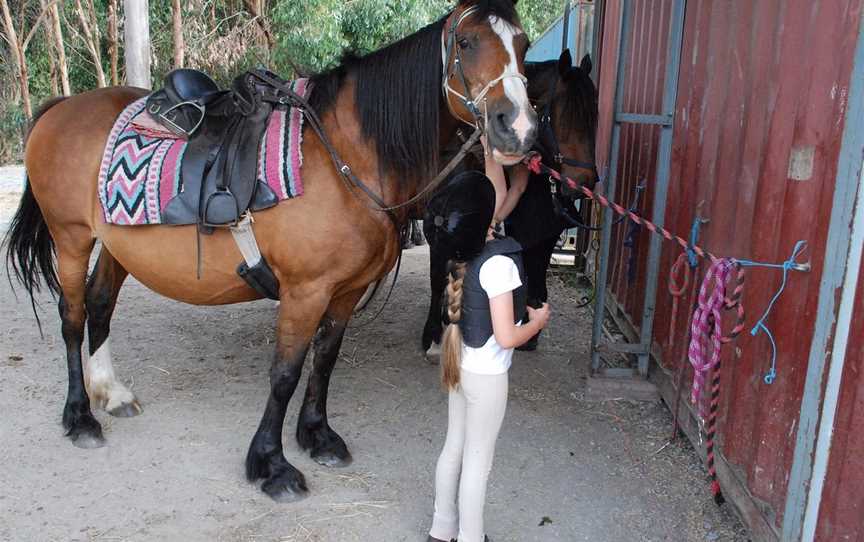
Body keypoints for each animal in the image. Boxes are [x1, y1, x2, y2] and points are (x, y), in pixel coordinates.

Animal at [3, 0, 536, 504]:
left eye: (524, 45)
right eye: (466, 42)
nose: (520, 129)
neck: (343, 155)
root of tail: (60, 107)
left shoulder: (346, 291)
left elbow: (325, 360)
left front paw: (317, 436)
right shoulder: (305, 292)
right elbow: (285, 373)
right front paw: (270, 465)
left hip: (116, 247)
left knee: (99, 305)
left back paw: (110, 392)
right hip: (71, 238)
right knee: (72, 316)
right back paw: (80, 417)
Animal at [420, 50, 596, 356]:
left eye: (595, 112)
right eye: (566, 115)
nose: (584, 183)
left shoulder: (540, 237)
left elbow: (534, 282)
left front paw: (529, 330)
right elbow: (437, 277)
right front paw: (432, 335)